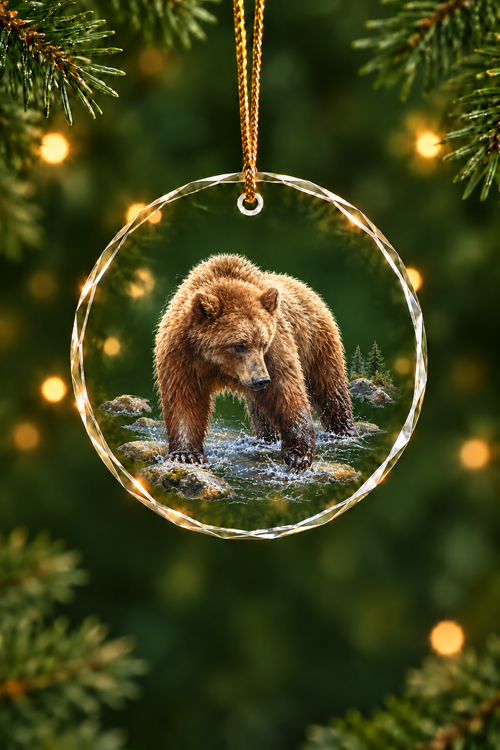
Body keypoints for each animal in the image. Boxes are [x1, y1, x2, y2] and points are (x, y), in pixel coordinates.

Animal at [155, 254, 356, 473]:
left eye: (263, 342)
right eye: (239, 345)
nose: (261, 380)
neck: (218, 364)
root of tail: (306, 288)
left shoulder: (275, 350)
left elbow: (286, 390)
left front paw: (298, 455)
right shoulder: (182, 355)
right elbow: (184, 398)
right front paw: (185, 454)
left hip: (316, 343)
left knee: (328, 389)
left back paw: (344, 431)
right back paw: (265, 439)